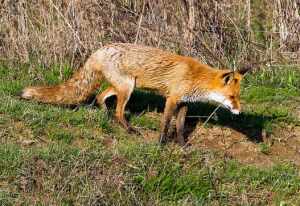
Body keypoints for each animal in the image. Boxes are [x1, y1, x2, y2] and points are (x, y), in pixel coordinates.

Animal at [21, 42, 251, 145]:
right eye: (232, 97)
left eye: (238, 97)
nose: (239, 112)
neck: (197, 77)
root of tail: (100, 49)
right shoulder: (172, 99)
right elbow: (165, 123)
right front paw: (160, 144)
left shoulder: (184, 103)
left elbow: (179, 126)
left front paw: (182, 144)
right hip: (127, 88)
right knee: (118, 111)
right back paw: (129, 129)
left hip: (122, 86)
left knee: (101, 98)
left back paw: (105, 116)